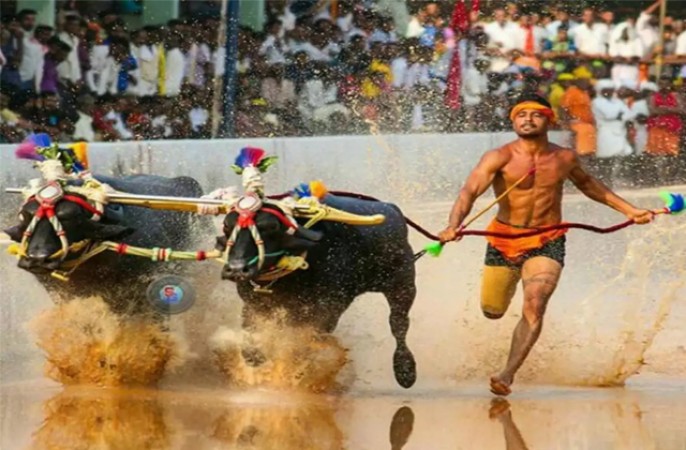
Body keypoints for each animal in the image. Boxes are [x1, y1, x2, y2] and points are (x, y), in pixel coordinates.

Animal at [219, 193, 420, 386]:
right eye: (227, 227)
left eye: (272, 227)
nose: (237, 269)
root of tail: (392, 209)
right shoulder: (253, 304)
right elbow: (251, 341)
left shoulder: (328, 309)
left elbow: (303, 340)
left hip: (403, 284)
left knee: (399, 323)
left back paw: (405, 370)